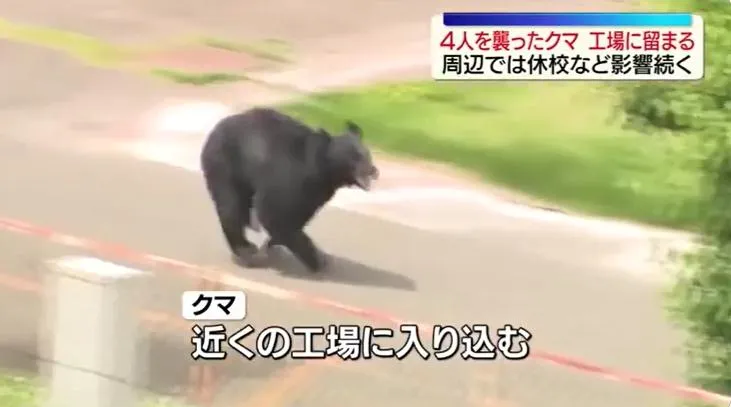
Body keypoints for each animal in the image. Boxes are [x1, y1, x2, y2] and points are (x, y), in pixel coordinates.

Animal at [200, 107, 379, 272]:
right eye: (354, 157)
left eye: (367, 153)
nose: (374, 171)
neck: (324, 171)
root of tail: (215, 128)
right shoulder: (290, 177)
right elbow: (275, 212)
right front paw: (317, 260)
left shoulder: (317, 191)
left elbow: (299, 214)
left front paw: (274, 244)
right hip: (225, 164)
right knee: (230, 206)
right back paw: (245, 250)